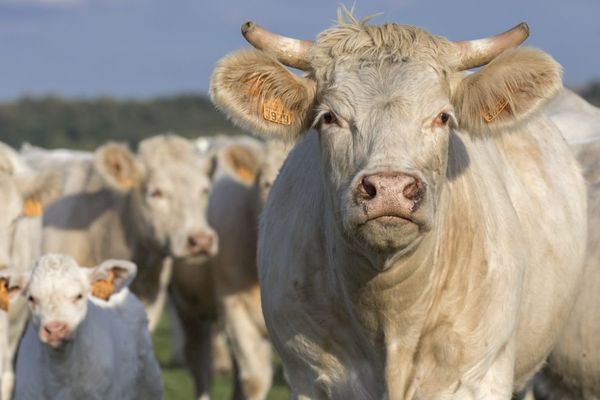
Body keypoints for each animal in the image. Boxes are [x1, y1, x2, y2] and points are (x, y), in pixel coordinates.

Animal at [210, 13, 584, 400]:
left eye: (443, 117)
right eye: (328, 117)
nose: (389, 189)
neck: (390, 315)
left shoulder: (479, 375)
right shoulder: (307, 376)